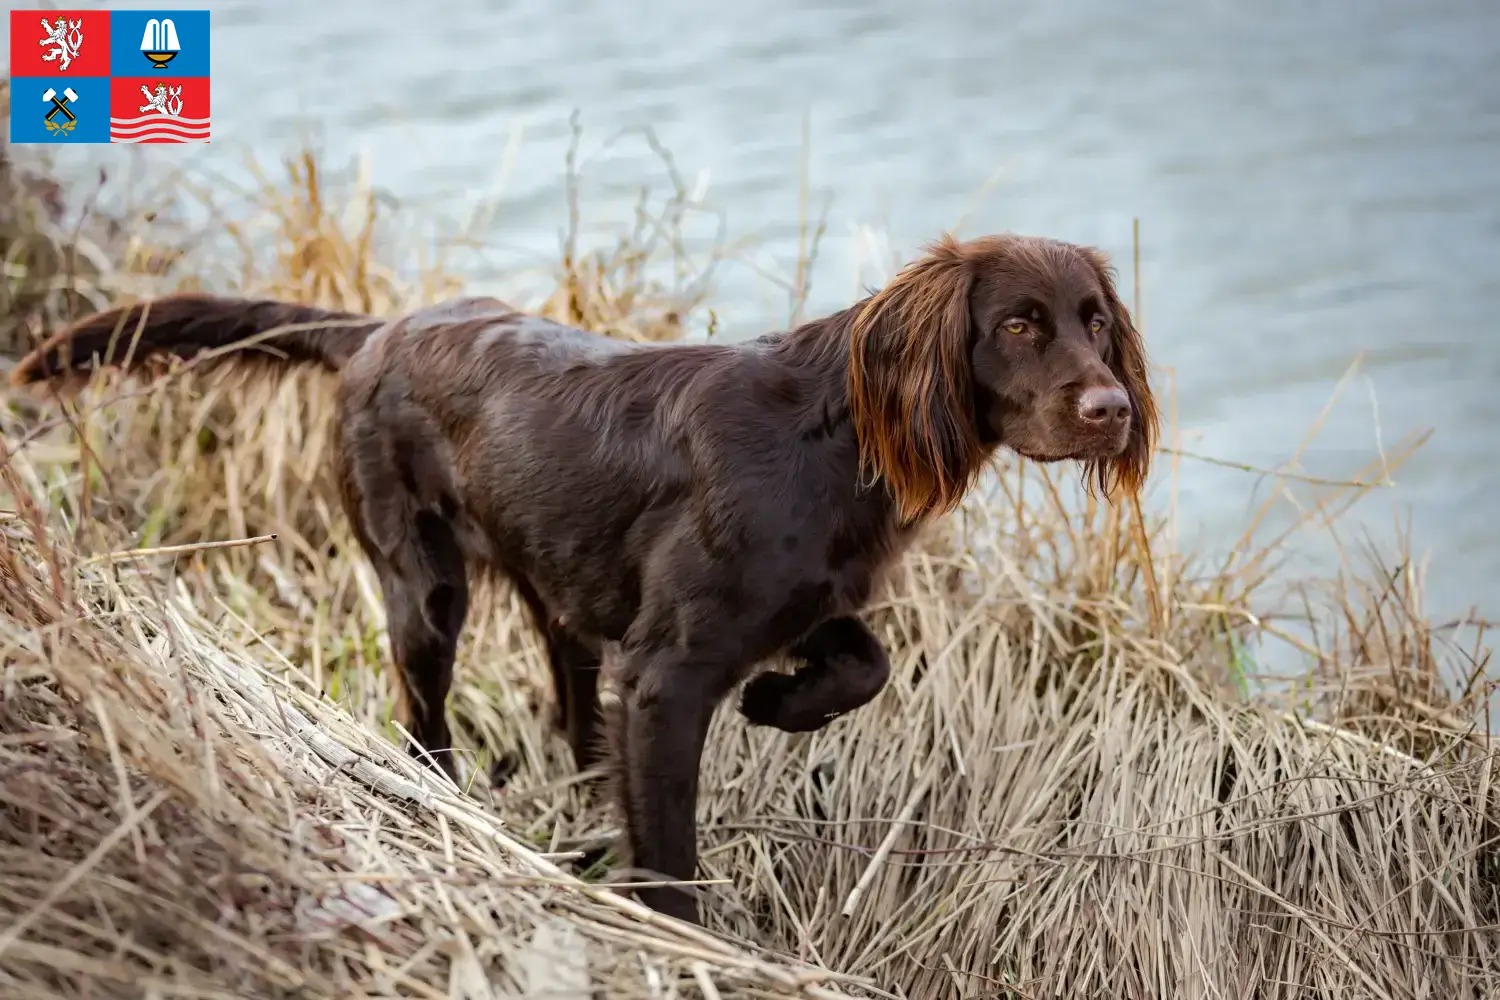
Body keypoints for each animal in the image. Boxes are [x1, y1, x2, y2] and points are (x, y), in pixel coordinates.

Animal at [14, 232, 1158, 923]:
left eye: (1096, 319)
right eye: (1018, 323)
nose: (1112, 409)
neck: (831, 436)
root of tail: (380, 328)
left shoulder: (800, 604)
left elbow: (863, 664)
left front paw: (779, 702)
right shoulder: (665, 676)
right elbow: (672, 854)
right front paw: (693, 943)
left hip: (555, 592)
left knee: (567, 708)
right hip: (423, 587)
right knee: (424, 719)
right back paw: (451, 799)